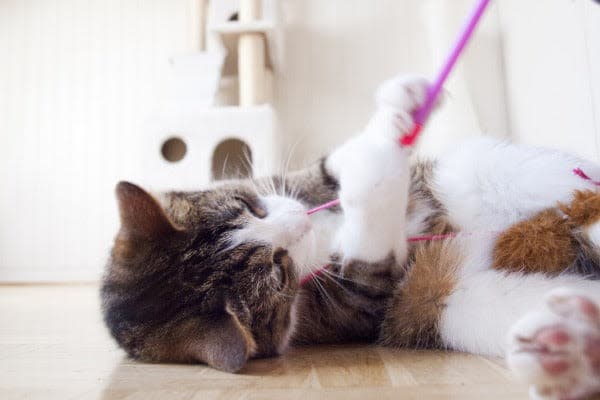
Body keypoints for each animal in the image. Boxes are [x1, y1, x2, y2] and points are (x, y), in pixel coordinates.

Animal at [103, 76, 600, 400]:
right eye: (278, 268)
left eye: (250, 205)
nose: (300, 220)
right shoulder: (359, 302)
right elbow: (365, 258)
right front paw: (371, 177)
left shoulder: (298, 183)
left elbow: (329, 167)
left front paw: (400, 108)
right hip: (451, 307)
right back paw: (573, 346)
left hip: (485, 169)